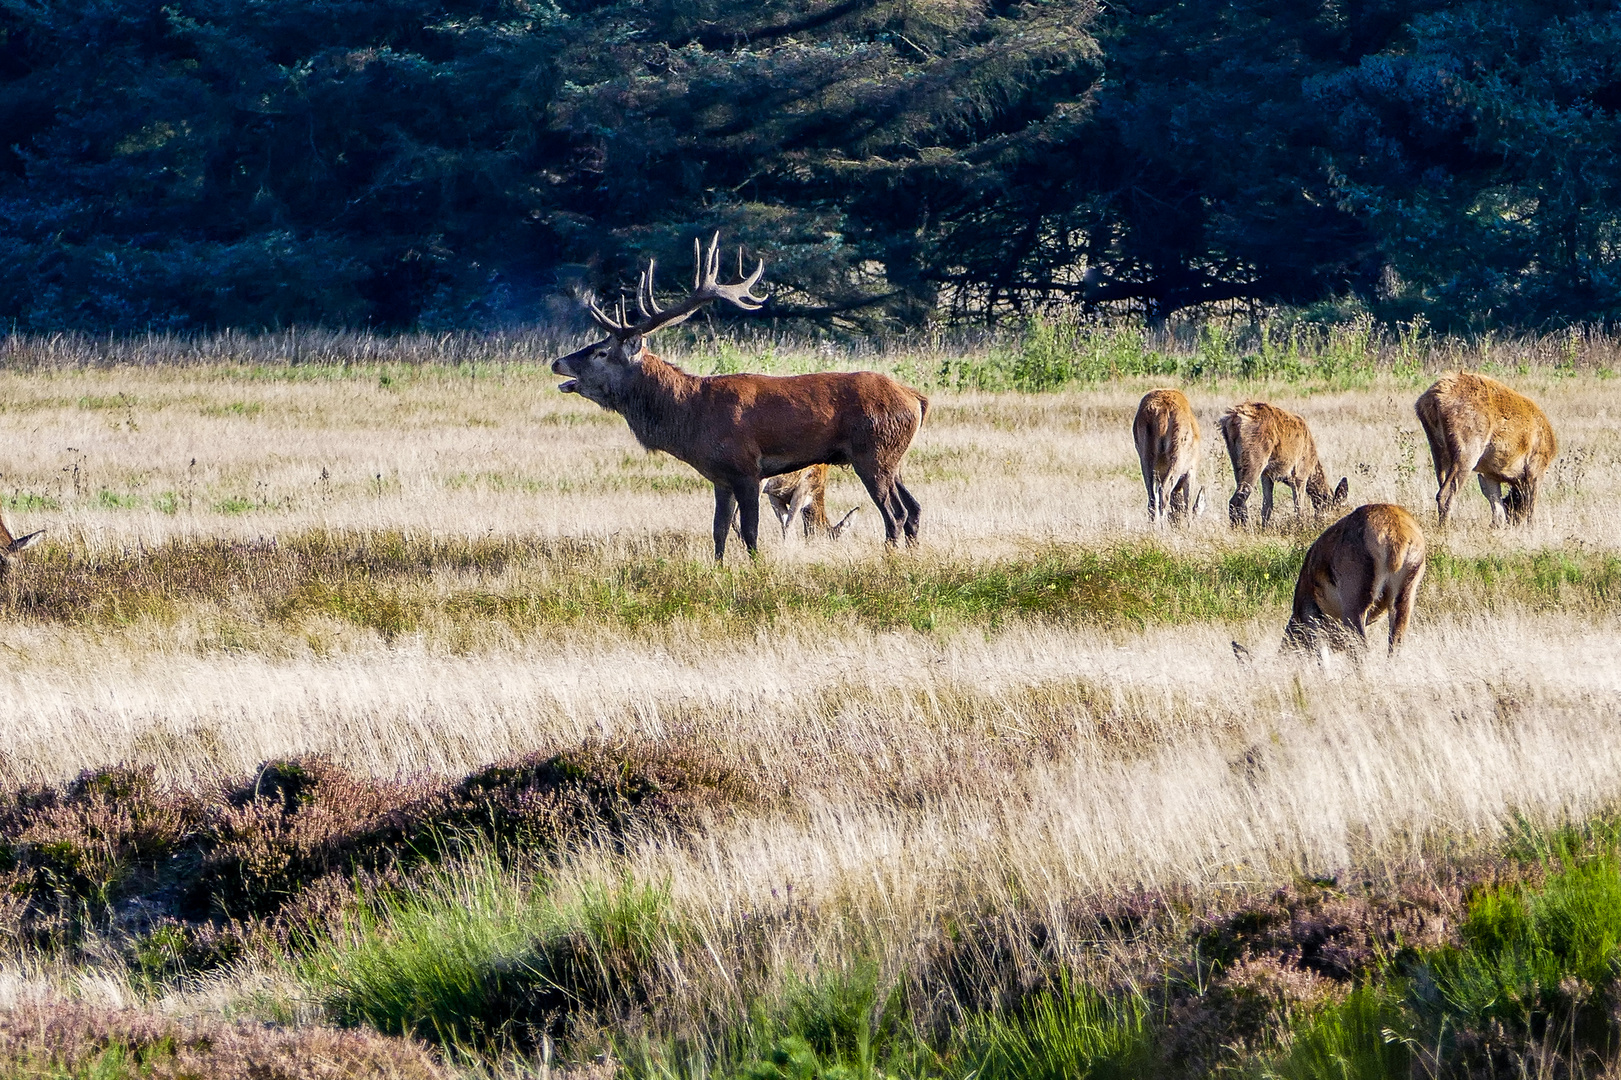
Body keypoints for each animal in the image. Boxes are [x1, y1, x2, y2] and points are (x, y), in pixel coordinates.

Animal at [554, 231, 927, 557]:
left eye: (601, 352)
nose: (558, 362)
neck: (692, 416)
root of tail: (917, 400)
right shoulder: (720, 476)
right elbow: (719, 530)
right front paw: (718, 570)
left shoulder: (747, 468)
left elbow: (750, 532)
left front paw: (756, 569)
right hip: (893, 456)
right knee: (914, 508)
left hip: (873, 452)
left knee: (895, 514)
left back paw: (889, 559)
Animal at [1141, 387, 1206, 525]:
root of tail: (1160, 409)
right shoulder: (1191, 470)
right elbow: (1188, 504)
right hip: (1178, 455)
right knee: (1164, 491)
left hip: (1144, 457)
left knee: (1151, 498)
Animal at [1218, 398, 1348, 525]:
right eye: (1337, 508)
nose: (1334, 521)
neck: (1312, 465)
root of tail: (1233, 418)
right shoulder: (1300, 474)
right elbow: (1299, 508)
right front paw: (1301, 526)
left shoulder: (1267, 475)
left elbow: (1267, 506)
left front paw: (1265, 528)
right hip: (1255, 456)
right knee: (1238, 497)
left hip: (1235, 459)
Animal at [1419, 369, 1556, 525]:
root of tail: (1432, 399)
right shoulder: (1536, 467)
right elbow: (1530, 509)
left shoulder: (1489, 474)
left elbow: (1498, 511)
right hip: (1468, 447)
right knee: (1445, 492)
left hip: (1437, 449)